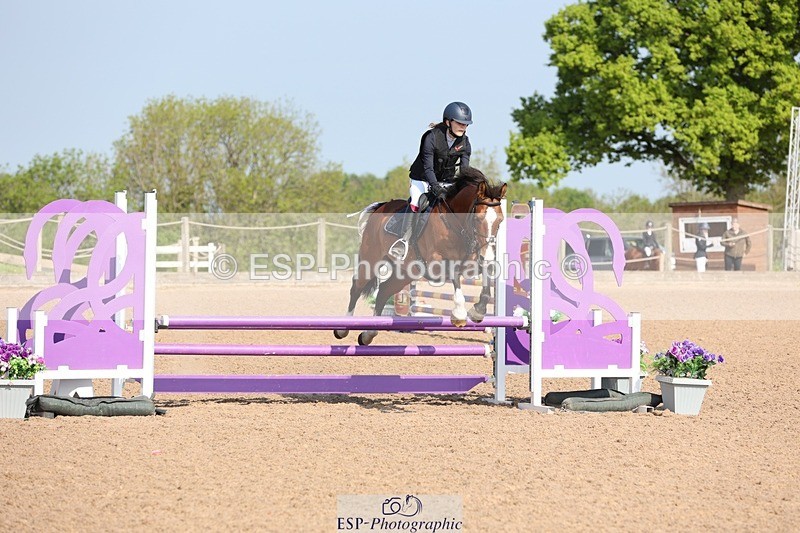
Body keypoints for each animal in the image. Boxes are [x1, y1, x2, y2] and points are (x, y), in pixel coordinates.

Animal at [334, 167, 507, 345]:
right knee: (356, 287)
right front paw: (459, 314)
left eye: (500, 221)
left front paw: (478, 312)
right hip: (371, 258)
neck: (456, 224)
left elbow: (485, 281)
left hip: (406, 272)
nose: (487, 256)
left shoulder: (473, 263)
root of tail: (381, 207)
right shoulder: (437, 262)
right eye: (478, 219)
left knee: (383, 291)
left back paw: (368, 334)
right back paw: (343, 328)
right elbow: (455, 274)